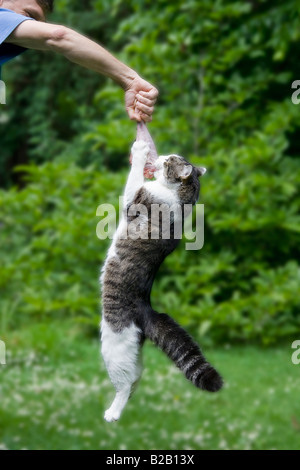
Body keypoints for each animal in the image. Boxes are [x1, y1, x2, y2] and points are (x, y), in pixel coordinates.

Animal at [101, 140, 223, 422]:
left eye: (168, 161)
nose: (160, 156)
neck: (182, 199)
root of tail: (146, 309)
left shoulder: (136, 197)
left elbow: (133, 180)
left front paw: (140, 150)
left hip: (114, 345)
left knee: (125, 383)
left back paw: (113, 413)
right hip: (132, 352)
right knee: (135, 377)